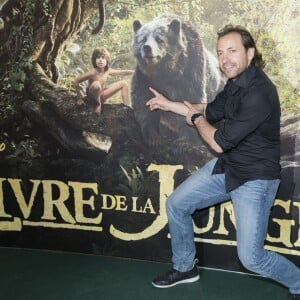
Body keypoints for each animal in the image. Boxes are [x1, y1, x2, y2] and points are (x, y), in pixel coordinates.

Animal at [131, 13, 225, 151]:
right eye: (143, 39)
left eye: (159, 39)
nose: (147, 48)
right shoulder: (145, 77)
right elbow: (142, 100)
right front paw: (153, 138)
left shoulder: (191, 70)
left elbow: (191, 100)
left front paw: (185, 142)